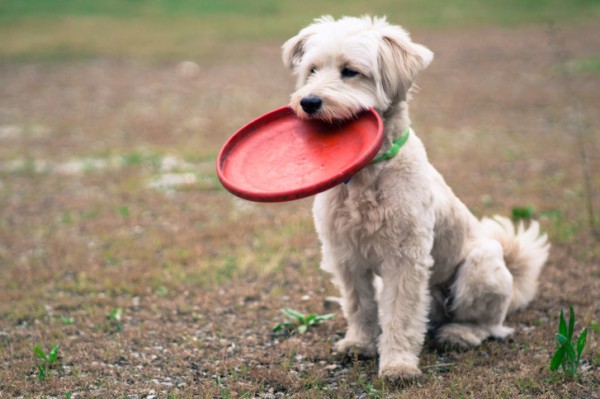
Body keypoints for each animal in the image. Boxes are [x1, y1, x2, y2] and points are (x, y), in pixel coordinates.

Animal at [284, 15, 552, 382]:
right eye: (312, 70)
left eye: (350, 71)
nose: (308, 102)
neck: (368, 177)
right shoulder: (346, 256)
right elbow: (359, 305)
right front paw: (359, 343)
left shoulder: (405, 259)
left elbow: (401, 315)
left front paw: (397, 364)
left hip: (480, 268)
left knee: (489, 324)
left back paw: (460, 334)